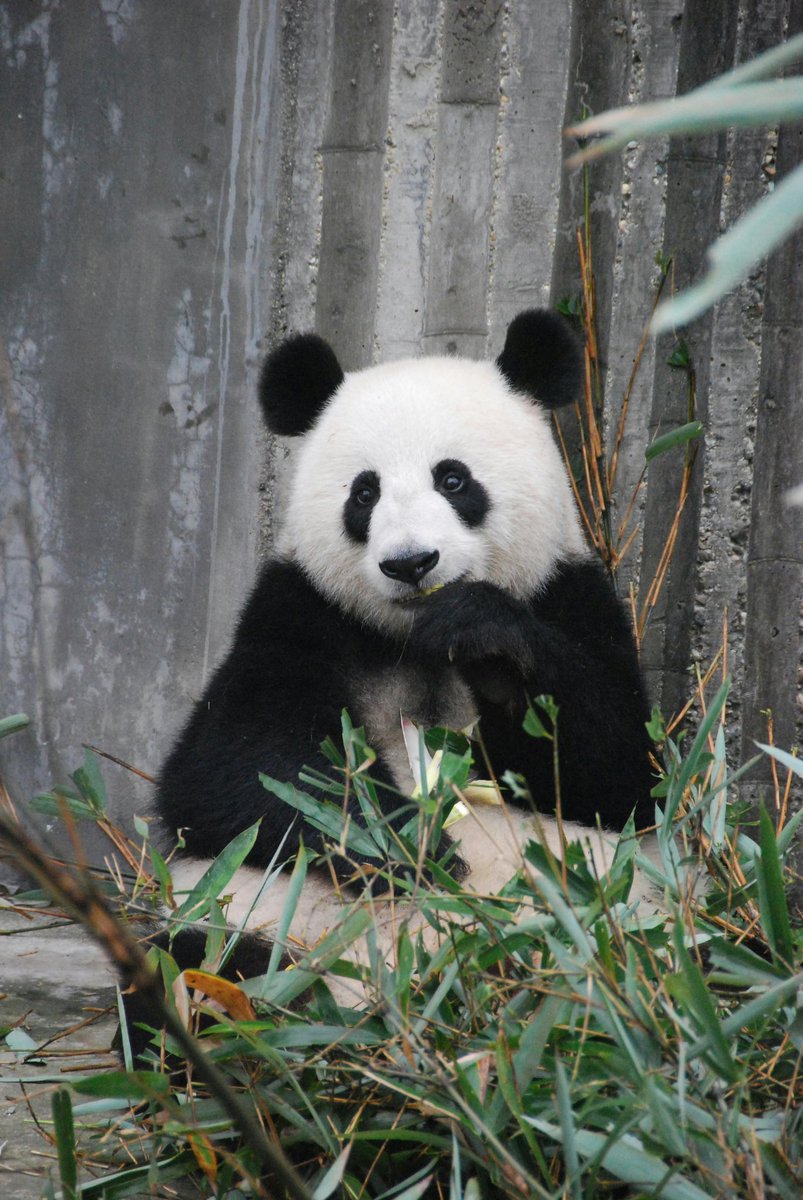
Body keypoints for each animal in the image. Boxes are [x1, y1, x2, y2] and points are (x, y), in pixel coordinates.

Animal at [140, 309, 658, 1018]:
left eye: (453, 479)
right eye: (364, 493)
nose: (411, 563)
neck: (412, 638)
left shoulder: (568, 593)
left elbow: (620, 774)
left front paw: (487, 640)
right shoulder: (297, 613)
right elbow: (233, 772)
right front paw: (413, 847)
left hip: (614, 929)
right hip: (243, 917)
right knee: (188, 968)